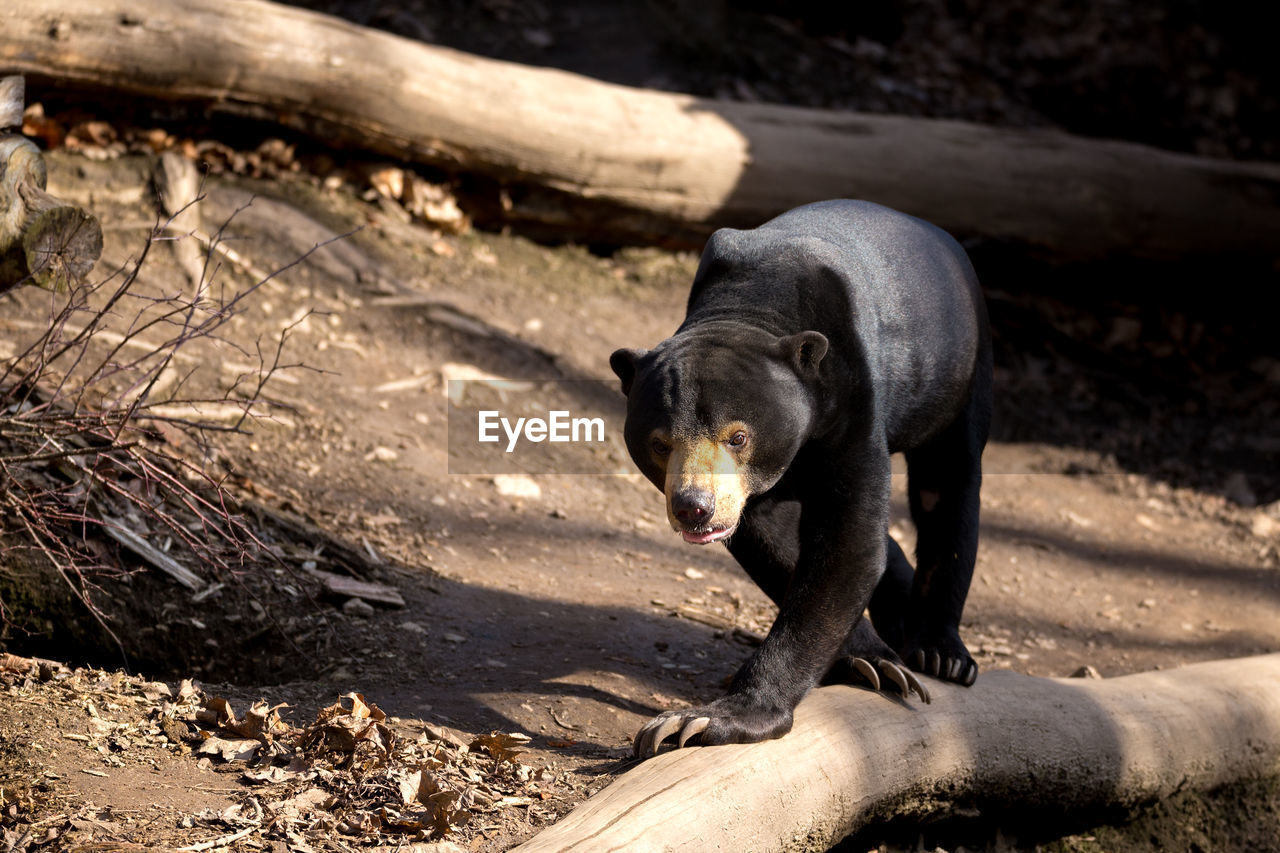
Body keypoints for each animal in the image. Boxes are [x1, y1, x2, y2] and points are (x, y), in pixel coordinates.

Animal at [609, 199, 988, 758]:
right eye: (659, 443)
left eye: (738, 436)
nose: (694, 508)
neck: (754, 303)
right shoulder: (748, 493)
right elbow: (774, 540)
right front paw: (873, 662)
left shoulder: (851, 399)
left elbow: (848, 545)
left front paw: (704, 721)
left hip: (960, 370)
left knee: (947, 485)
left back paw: (941, 652)